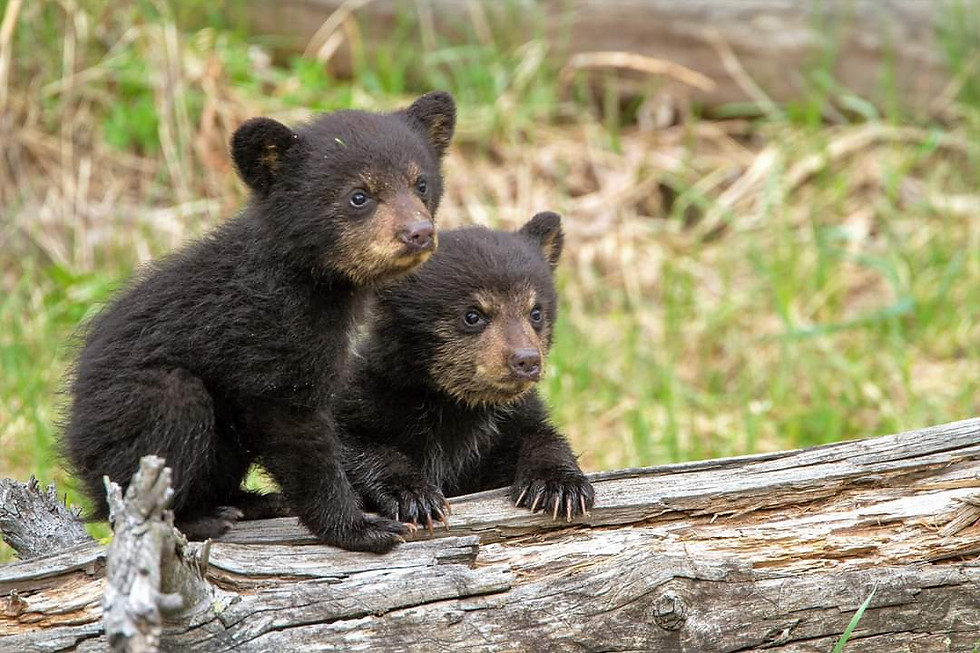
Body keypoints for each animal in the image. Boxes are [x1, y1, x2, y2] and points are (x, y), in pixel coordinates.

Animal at [61, 92, 456, 553]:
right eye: (359, 196)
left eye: (421, 183)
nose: (419, 232)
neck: (312, 278)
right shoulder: (270, 330)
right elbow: (296, 425)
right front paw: (361, 528)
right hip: (129, 420)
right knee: (170, 412)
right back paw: (201, 518)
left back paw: (252, 501)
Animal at [335, 212, 595, 533]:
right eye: (472, 315)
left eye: (535, 312)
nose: (526, 360)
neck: (457, 407)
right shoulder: (364, 400)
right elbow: (350, 446)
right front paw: (413, 495)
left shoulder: (507, 424)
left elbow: (540, 436)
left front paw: (560, 485)